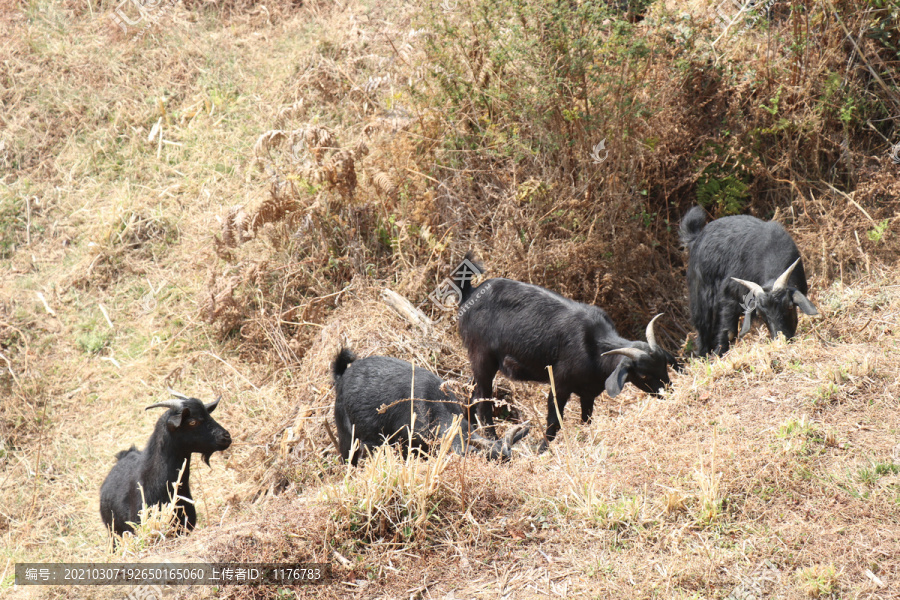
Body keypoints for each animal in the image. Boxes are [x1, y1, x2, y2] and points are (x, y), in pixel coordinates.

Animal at [458, 258, 676, 450]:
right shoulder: (559, 385)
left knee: (471, 390)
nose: (670, 393)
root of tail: (471, 293)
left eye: (664, 365)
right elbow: (554, 422)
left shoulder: (588, 393)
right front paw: (542, 450)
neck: (594, 347)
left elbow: (587, 419)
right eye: (644, 375)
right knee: (482, 400)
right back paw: (492, 439)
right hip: (482, 357)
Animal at [680, 206, 820, 356]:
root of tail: (696, 238)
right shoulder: (729, 297)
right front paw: (718, 354)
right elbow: (729, 332)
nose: (781, 339)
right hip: (701, 299)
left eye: (789, 306)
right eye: (760, 314)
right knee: (703, 328)